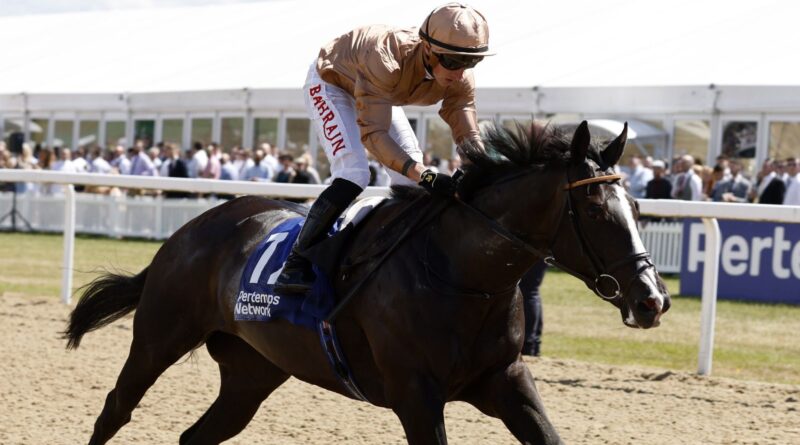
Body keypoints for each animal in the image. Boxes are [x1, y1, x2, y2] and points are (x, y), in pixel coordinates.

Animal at [67, 121, 668, 444]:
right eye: (596, 210)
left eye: (638, 207)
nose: (652, 299)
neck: (462, 274)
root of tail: (192, 227)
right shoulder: (415, 394)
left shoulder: (505, 379)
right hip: (159, 337)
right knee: (115, 408)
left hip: (252, 372)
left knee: (198, 435)